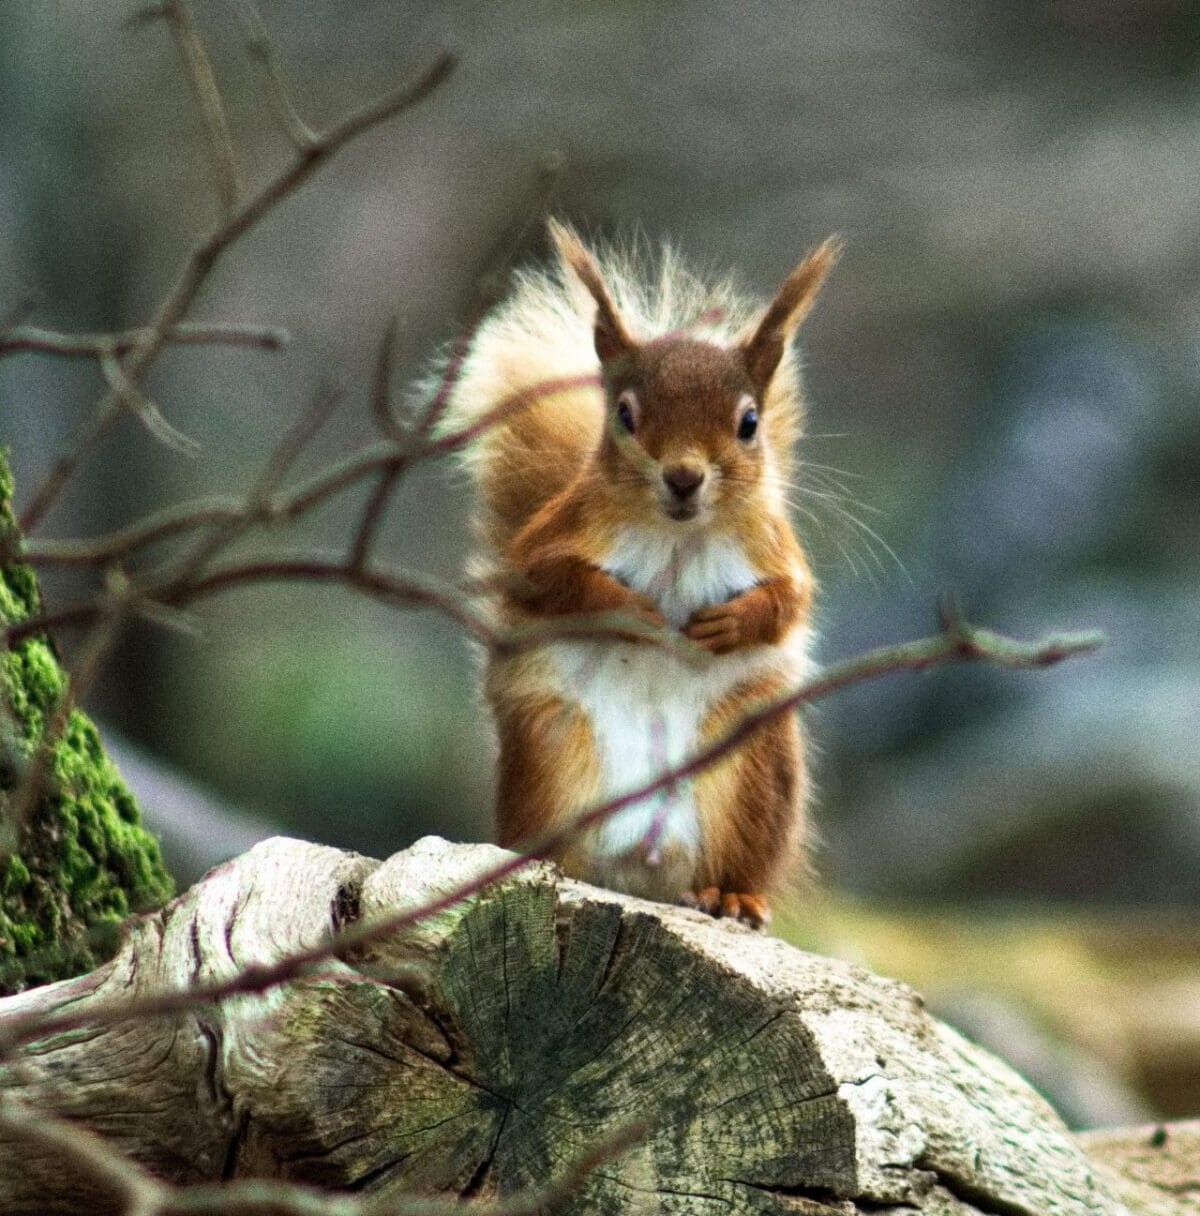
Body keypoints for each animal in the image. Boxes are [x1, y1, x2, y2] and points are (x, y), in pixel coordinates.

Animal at [440, 220, 839, 928]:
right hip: (551, 748)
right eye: (624, 414)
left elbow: (790, 601)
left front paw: (732, 622)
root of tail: (642, 863)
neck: (677, 535)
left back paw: (732, 896)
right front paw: (628, 609)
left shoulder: (774, 547)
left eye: (749, 423)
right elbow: (545, 579)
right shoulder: (556, 534)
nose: (683, 476)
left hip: (750, 762)